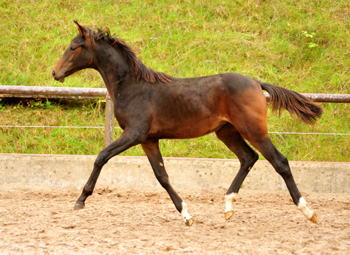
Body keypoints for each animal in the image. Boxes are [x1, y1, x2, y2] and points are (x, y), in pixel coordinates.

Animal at [52, 21, 322, 225]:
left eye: (73, 47)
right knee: (248, 158)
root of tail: (257, 83)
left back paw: (308, 211)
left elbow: (101, 157)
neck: (131, 86)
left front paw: (80, 200)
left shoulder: (134, 134)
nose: (55, 73)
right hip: (227, 132)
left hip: (252, 130)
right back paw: (228, 207)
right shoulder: (149, 139)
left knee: (280, 162)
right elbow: (162, 176)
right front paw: (186, 214)